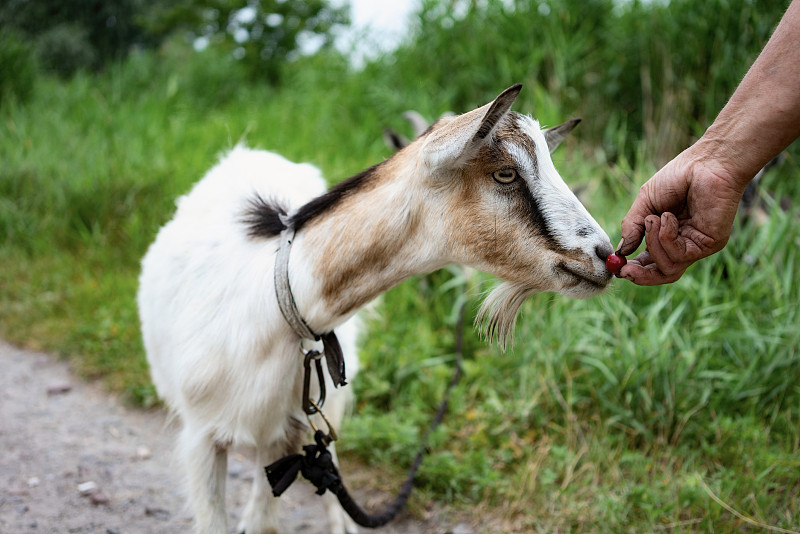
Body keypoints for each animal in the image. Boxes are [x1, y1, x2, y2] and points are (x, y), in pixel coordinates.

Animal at [138, 85, 612, 534]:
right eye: (505, 173)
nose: (605, 255)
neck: (281, 300)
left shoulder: (288, 430)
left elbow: (265, 519)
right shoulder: (201, 436)